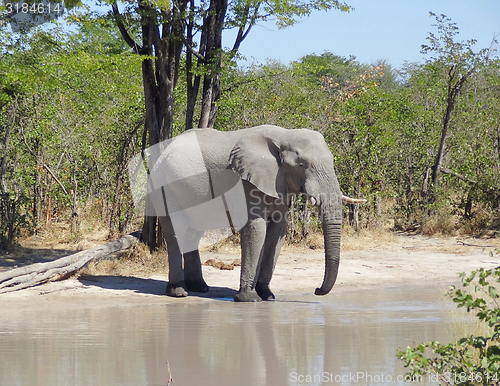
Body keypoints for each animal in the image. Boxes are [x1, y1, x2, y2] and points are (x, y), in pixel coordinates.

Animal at [148, 125, 364, 304]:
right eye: (302, 165)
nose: (317, 290)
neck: (284, 135)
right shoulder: (246, 182)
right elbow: (256, 228)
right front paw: (249, 299)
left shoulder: (279, 184)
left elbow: (278, 231)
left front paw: (268, 296)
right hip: (163, 184)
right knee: (176, 231)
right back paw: (178, 292)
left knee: (194, 232)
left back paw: (200, 288)